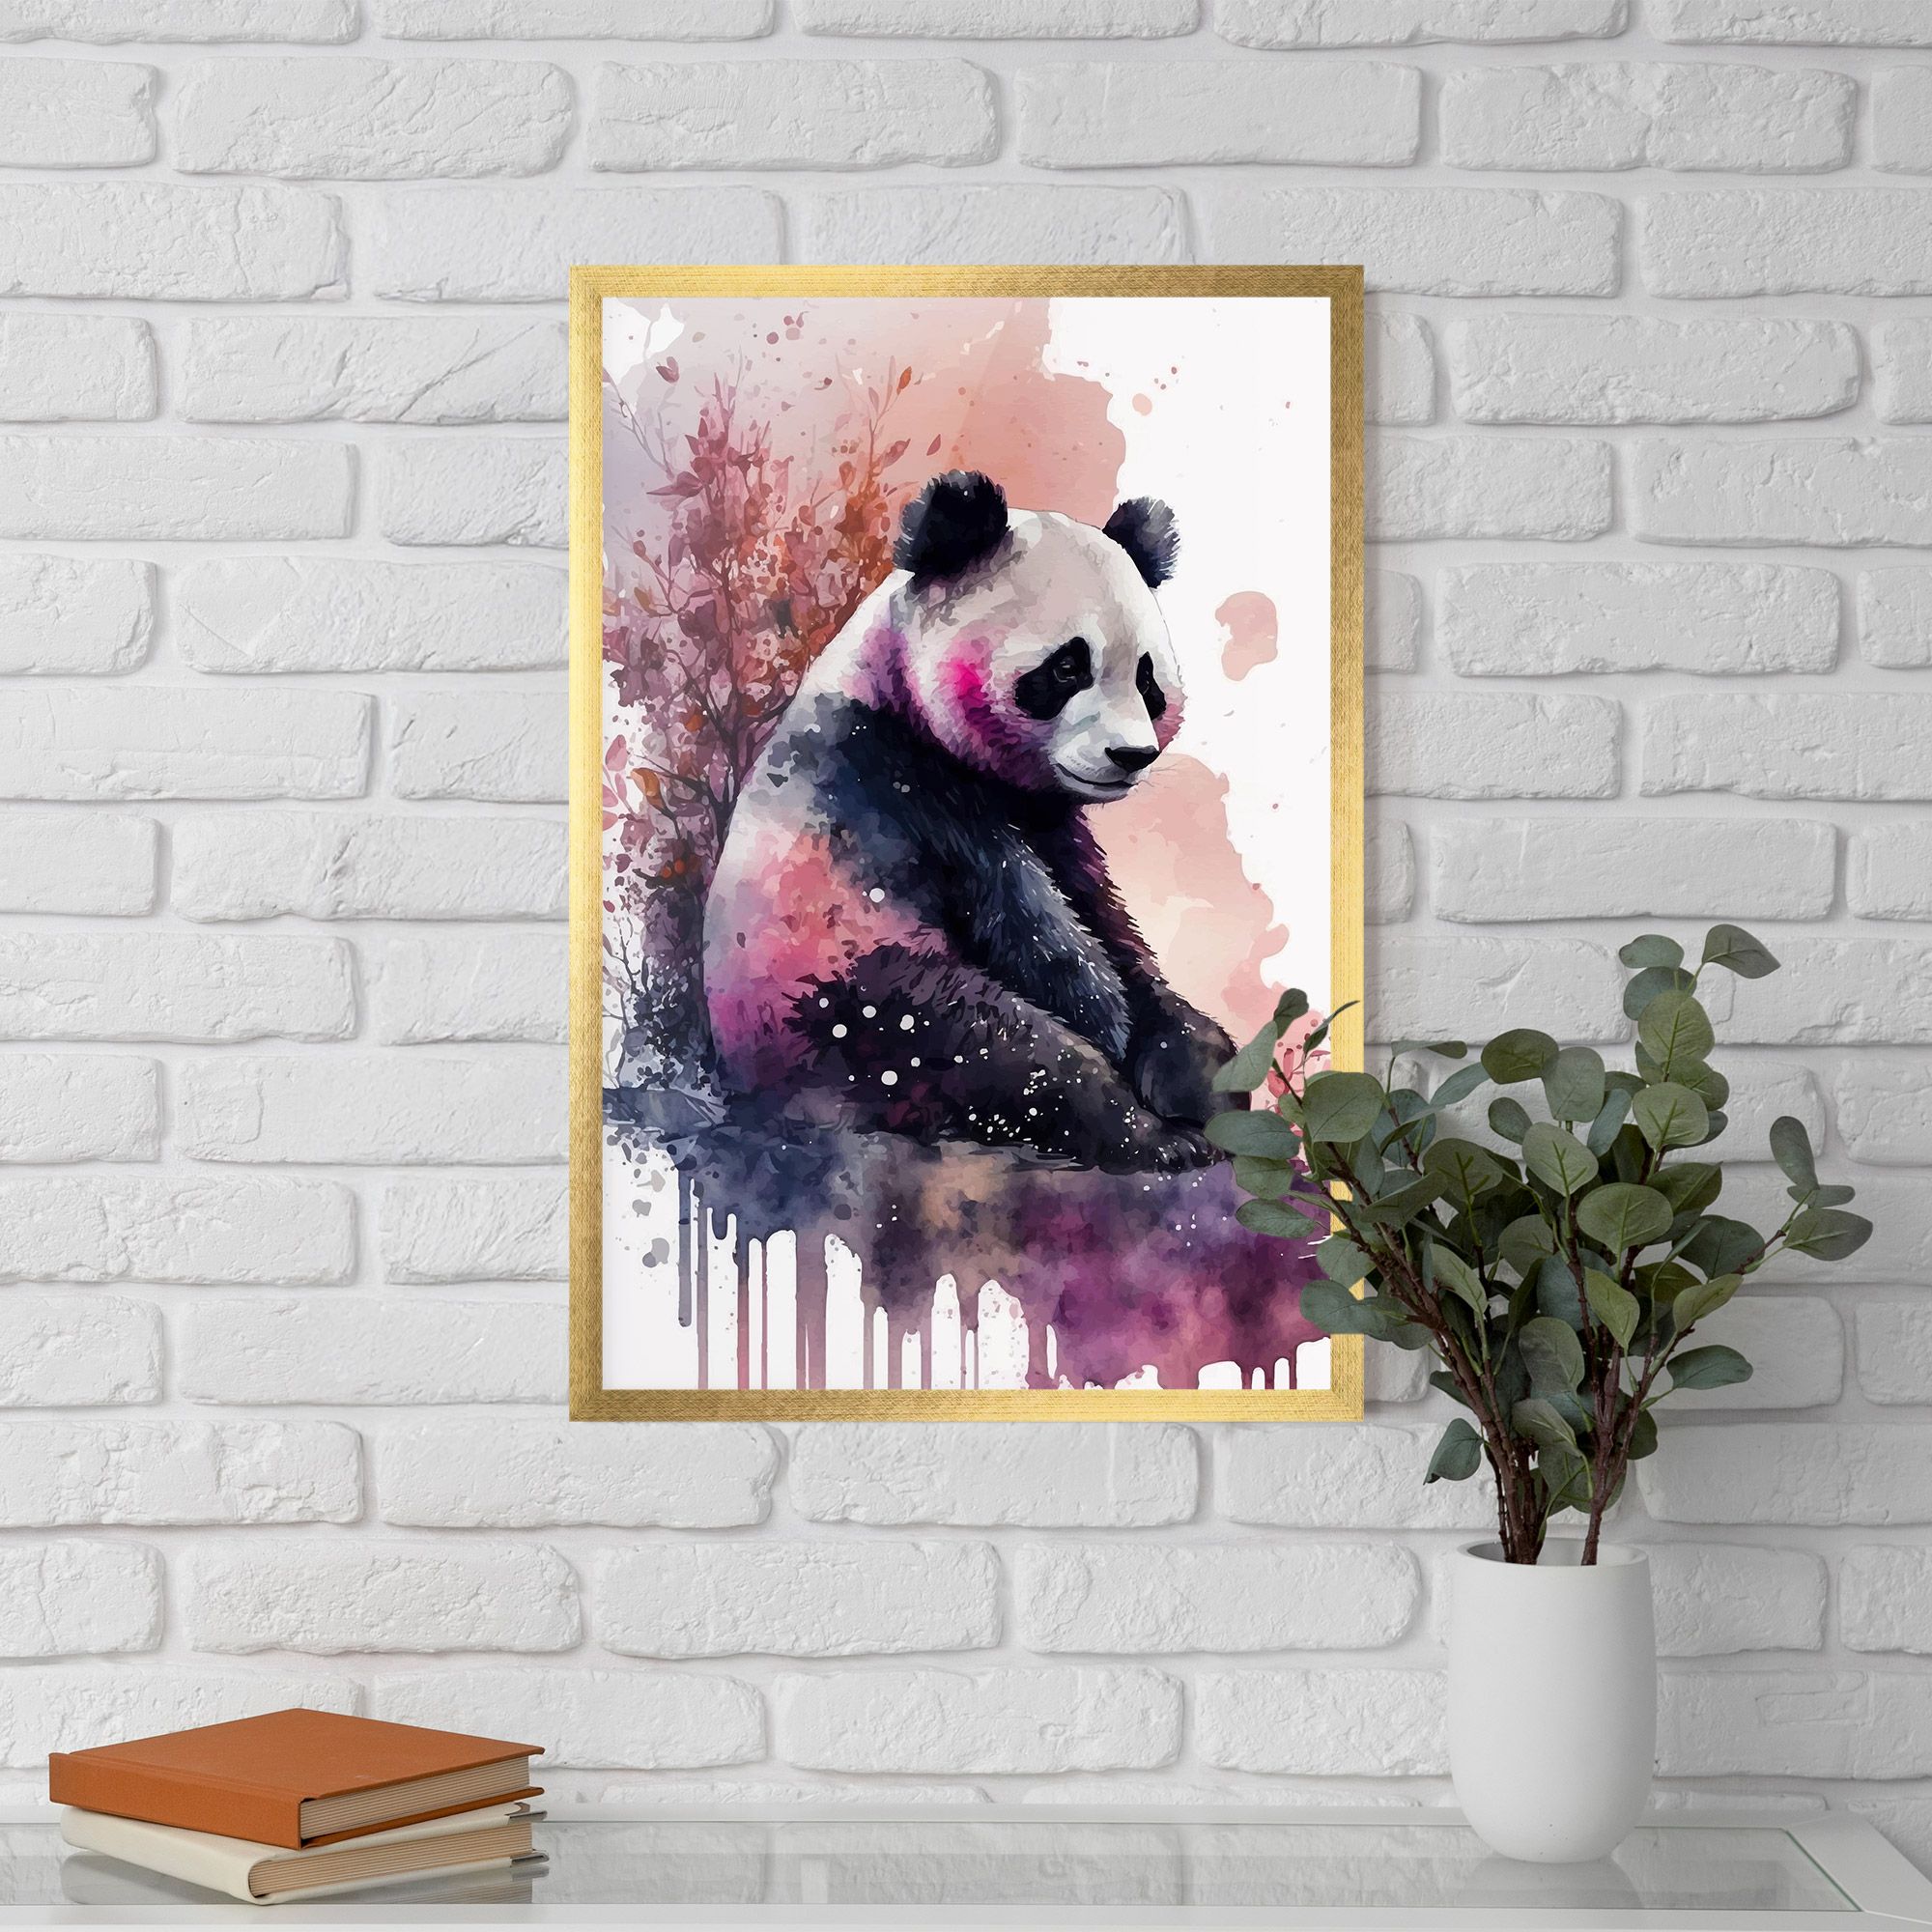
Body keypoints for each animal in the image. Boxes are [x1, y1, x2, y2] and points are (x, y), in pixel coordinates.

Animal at [701, 469, 1242, 1175]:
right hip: (843, 998)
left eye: (1148, 678)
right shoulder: (903, 785)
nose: (1131, 755)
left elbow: (1111, 926)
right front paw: (1114, 1027)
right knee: (1005, 1052)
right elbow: (1034, 931)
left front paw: (1191, 1064)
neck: (893, 688)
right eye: (1067, 667)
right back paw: (1151, 1138)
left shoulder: (1053, 822)